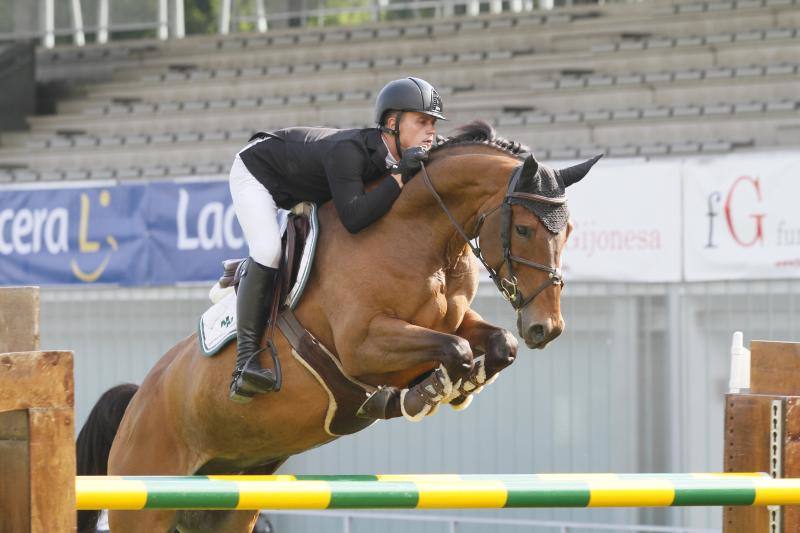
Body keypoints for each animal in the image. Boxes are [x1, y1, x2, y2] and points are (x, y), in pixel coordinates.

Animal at [78, 122, 600, 528]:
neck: (422, 237)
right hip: (142, 498)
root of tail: (137, 400)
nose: (547, 328)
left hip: (229, 504)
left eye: (570, 232)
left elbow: (496, 343)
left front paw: (461, 386)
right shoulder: (363, 344)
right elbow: (452, 350)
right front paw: (422, 395)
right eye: (525, 229)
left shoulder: (453, 320)